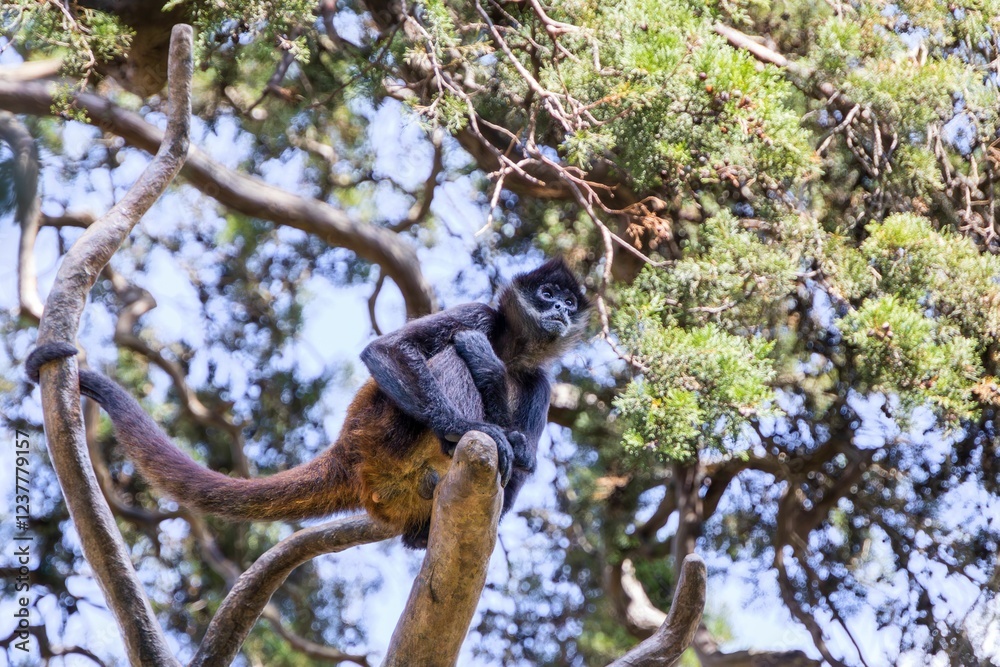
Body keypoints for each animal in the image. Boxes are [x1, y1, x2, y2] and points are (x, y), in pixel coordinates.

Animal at [26, 258, 590, 548]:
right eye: (547, 294)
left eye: (569, 302)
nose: (561, 311)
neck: (513, 348)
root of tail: (348, 449)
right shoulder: (480, 313)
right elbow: (385, 350)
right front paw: (484, 407)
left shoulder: (540, 378)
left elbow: (529, 455)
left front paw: (499, 396)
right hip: (386, 431)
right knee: (452, 351)